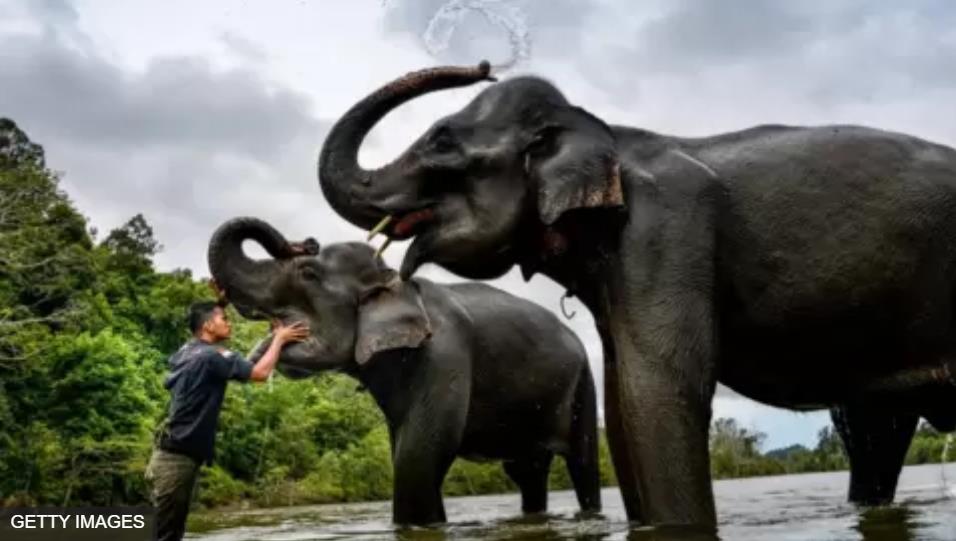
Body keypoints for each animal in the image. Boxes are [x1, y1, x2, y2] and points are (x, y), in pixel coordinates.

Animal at [206, 216, 602, 525]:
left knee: (582, 463)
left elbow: (419, 456)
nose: (307, 241)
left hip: (584, 384)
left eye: (308, 272)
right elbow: (405, 454)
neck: (395, 280)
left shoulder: (444, 355)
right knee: (527, 473)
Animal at [315, 60, 956, 530]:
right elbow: (624, 401)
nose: (483, 65)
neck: (607, 136)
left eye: (442, 142)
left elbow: (659, 391)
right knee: (876, 432)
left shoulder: (667, 229)